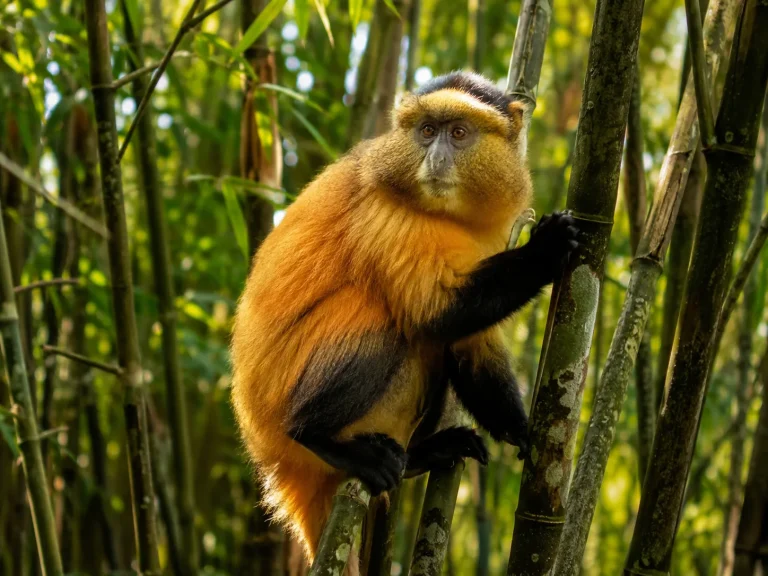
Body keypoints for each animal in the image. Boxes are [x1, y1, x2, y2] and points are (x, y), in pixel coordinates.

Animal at [230, 71, 579, 573]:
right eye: (427, 131)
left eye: (458, 133)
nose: (434, 158)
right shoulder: (386, 213)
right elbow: (437, 314)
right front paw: (545, 250)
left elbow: (468, 343)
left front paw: (522, 431)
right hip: (282, 405)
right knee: (389, 324)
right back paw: (321, 436)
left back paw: (420, 456)